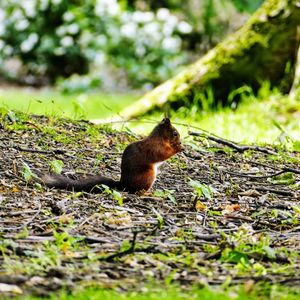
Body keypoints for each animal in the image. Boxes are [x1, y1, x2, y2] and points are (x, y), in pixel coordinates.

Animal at [37, 118, 183, 193]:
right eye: (175, 133)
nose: (180, 141)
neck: (160, 138)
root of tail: (123, 185)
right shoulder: (154, 148)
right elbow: (162, 154)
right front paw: (178, 148)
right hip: (148, 175)